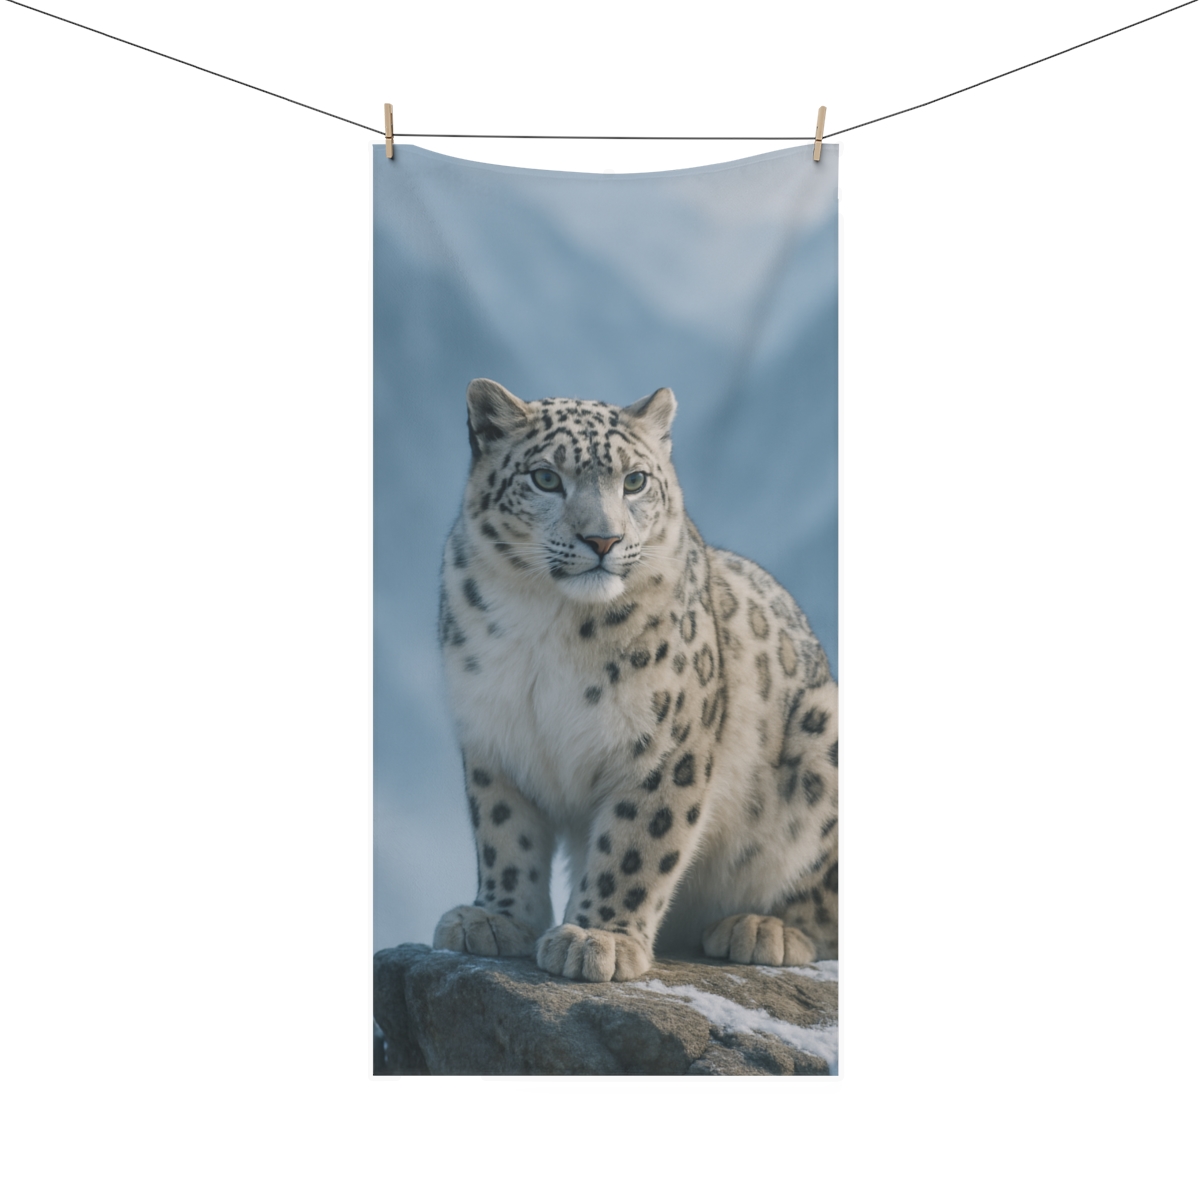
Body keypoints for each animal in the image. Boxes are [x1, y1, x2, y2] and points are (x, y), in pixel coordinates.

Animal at [431, 378, 838, 982]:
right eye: (545, 478)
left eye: (635, 480)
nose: (603, 539)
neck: (547, 623)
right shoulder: (492, 734)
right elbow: (504, 832)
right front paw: (496, 918)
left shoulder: (665, 743)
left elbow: (637, 841)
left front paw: (597, 938)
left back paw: (763, 929)